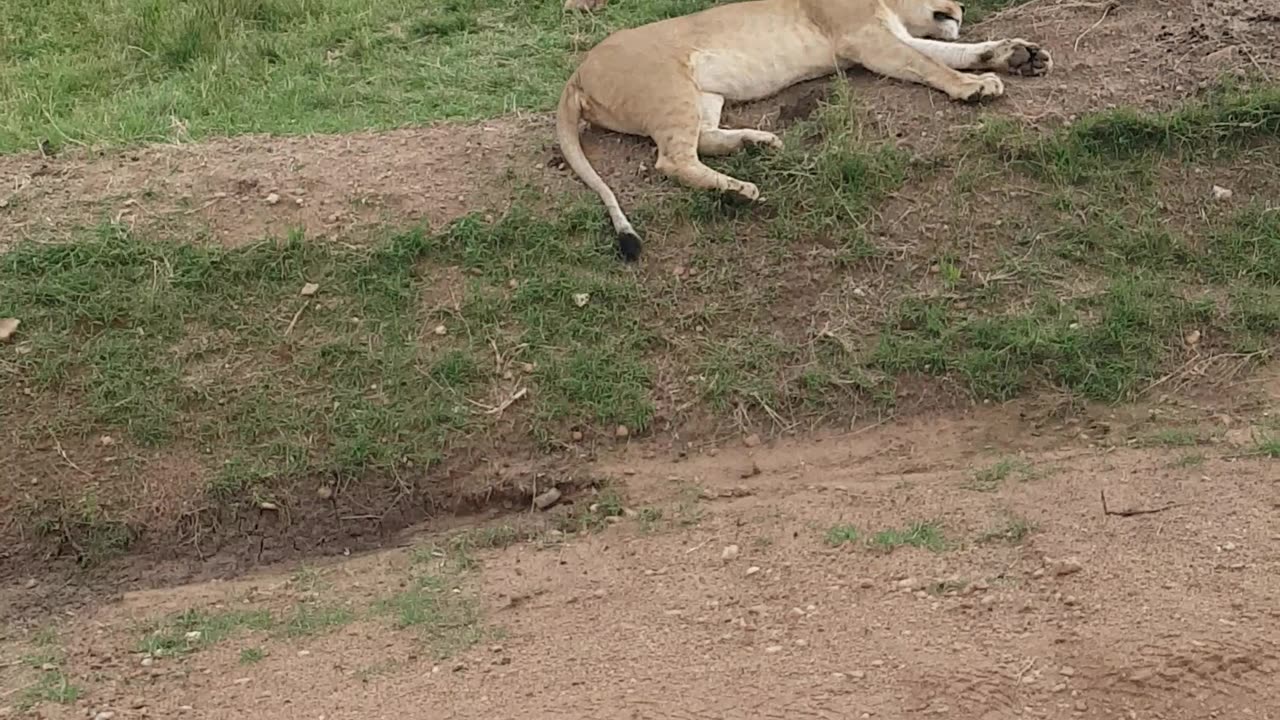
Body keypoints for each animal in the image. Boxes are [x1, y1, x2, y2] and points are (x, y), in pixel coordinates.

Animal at [558, 0, 1049, 257]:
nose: (961, 6)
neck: (889, 5)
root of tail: (577, 72)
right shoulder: (867, 41)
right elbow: (931, 64)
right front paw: (973, 86)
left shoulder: (888, 38)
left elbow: (953, 52)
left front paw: (1016, 55)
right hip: (670, 88)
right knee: (672, 160)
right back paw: (738, 191)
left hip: (704, 95)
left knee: (703, 140)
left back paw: (758, 144)